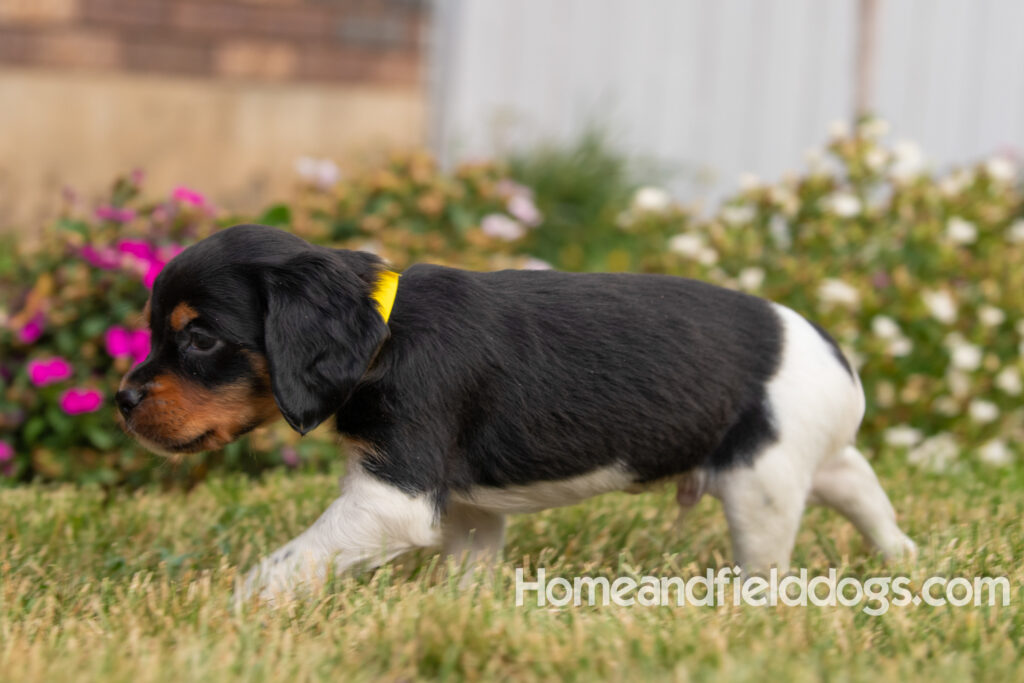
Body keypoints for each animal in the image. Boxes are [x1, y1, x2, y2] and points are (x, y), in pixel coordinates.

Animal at [116, 223, 917, 598]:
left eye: (199, 337)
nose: (122, 400)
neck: (383, 333)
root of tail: (833, 354)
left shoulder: (392, 495)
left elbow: (288, 562)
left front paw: (231, 607)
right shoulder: (468, 505)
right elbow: (469, 566)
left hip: (761, 482)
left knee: (772, 557)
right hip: (803, 457)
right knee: (863, 486)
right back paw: (902, 558)